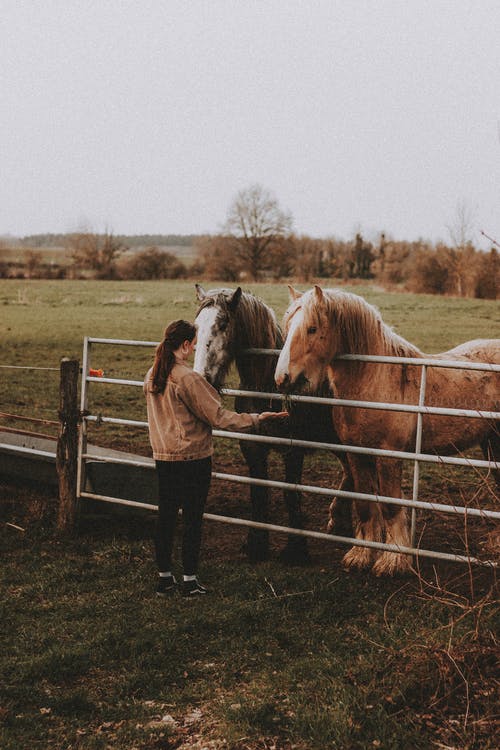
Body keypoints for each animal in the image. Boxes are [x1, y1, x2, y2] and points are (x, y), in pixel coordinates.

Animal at [193, 286, 354, 564]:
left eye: (223, 324)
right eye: (195, 326)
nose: (202, 378)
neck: (267, 386)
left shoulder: (293, 449)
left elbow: (290, 493)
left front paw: (296, 549)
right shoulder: (252, 446)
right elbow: (258, 492)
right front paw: (256, 545)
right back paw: (339, 520)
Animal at [276, 284, 498, 580]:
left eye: (312, 328)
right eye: (288, 326)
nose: (283, 378)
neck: (376, 380)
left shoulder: (388, 456)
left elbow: (391, 507)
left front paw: (394, 560)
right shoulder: (357, 455)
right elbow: (365, 505)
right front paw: (361, 555)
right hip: (492, 443)